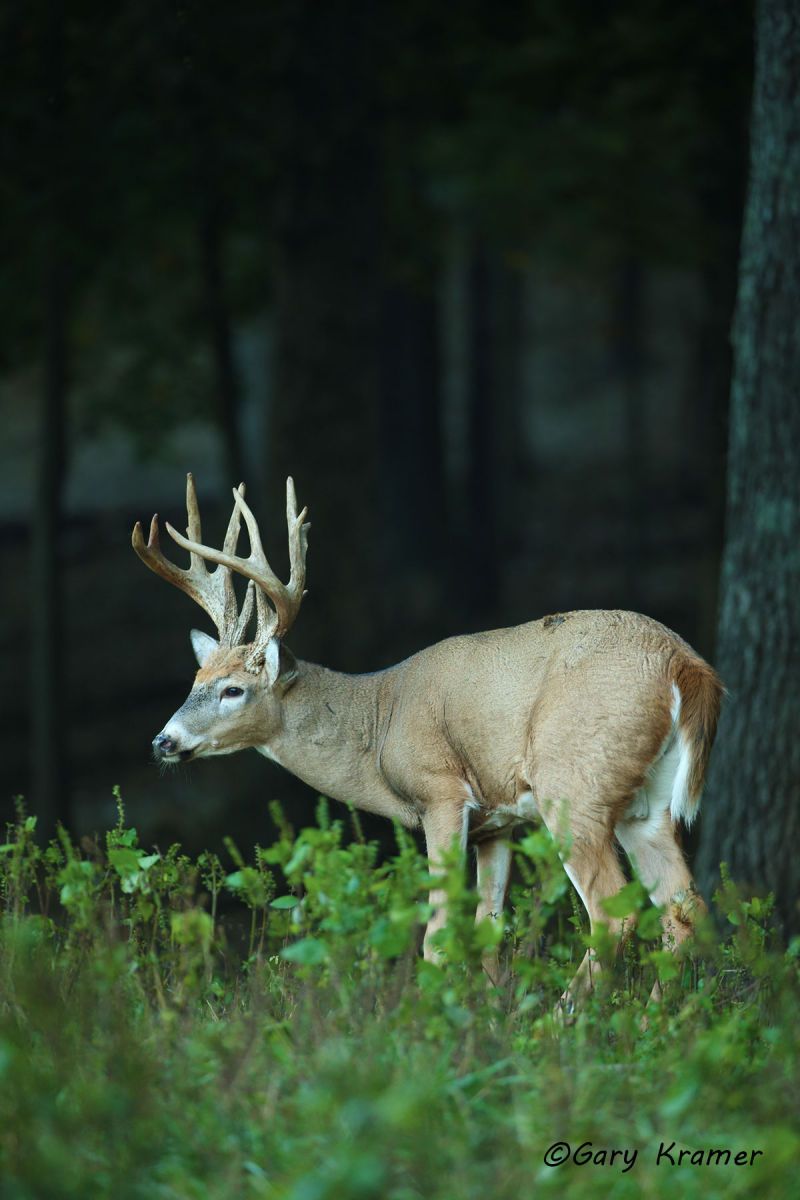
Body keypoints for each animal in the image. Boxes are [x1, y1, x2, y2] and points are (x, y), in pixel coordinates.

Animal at [133, 474, 722, 1009]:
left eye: (233, 689)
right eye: (194, 680)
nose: (163, 740)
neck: (379, 724)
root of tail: (685, 665)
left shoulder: (441, 793)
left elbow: (438, 938)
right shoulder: (496, 824)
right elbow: (488, 932)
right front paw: (489, 1020)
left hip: (574, 784)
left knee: (612, 913)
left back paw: (562, 1026)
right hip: (644, 805)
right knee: (684, 911)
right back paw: (655, 1023)